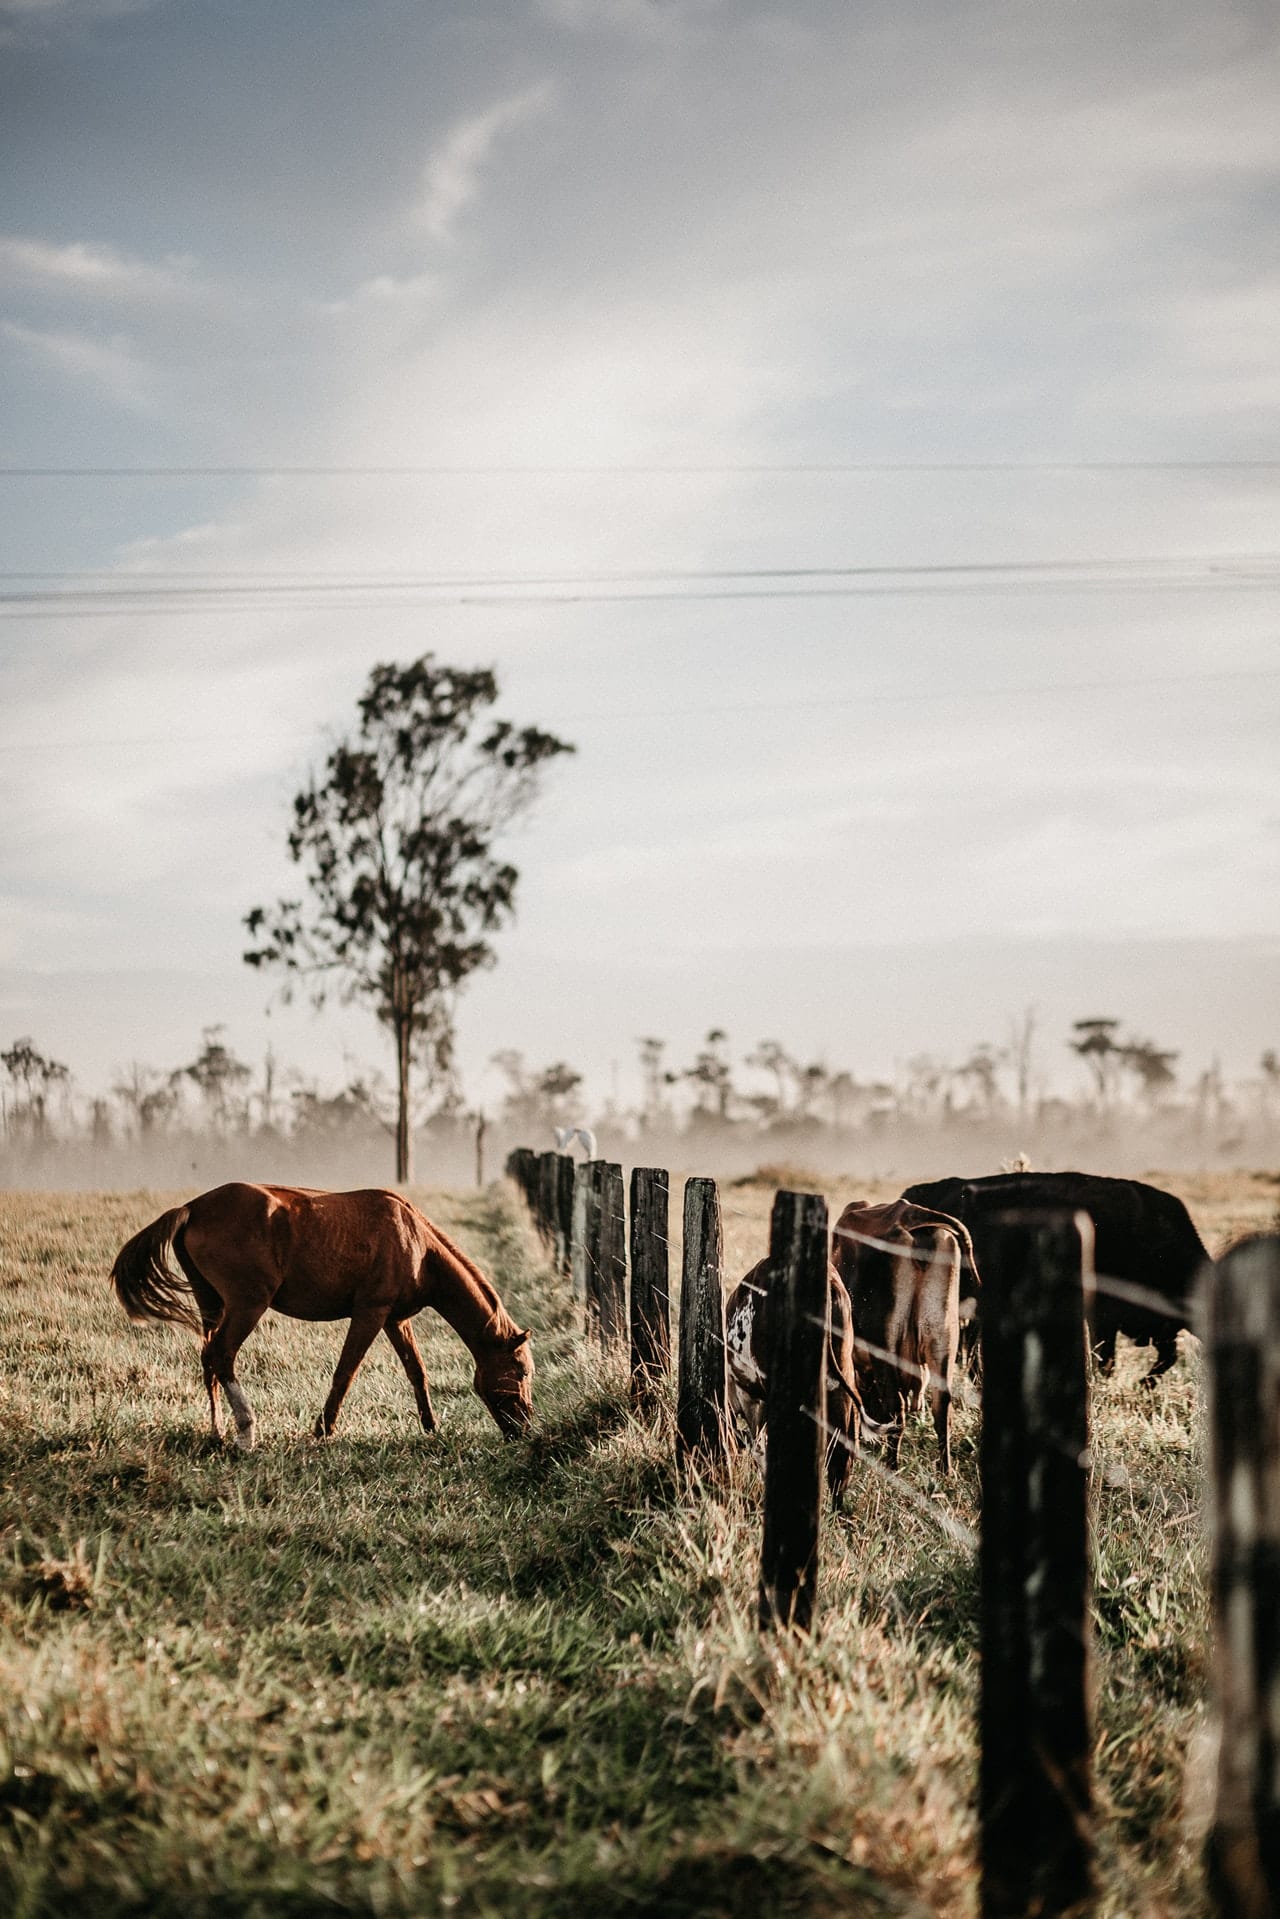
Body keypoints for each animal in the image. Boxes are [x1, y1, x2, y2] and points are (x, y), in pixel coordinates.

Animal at [108, 1174, 529, 1443]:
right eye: (522, 1371)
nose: (524, 1430)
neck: (416, 1243)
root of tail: (192, 1208)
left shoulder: (395, 1319)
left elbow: (416, 1372)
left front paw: (430, 1426)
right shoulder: (371, 1314)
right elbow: (345, 1372)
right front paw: (324, 1428)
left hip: (211, 1303)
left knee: (208, 1359)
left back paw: (217, 1431)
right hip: (247, 1305)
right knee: (222, 1355)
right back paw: (246, 1432)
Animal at [825, 1189, 974, 1473]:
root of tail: (910, 1214)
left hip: (886, 1343)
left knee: (897, 1409)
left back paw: (892, 1465)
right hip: (943, 1340)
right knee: (942, 1406)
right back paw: (945, 1469)